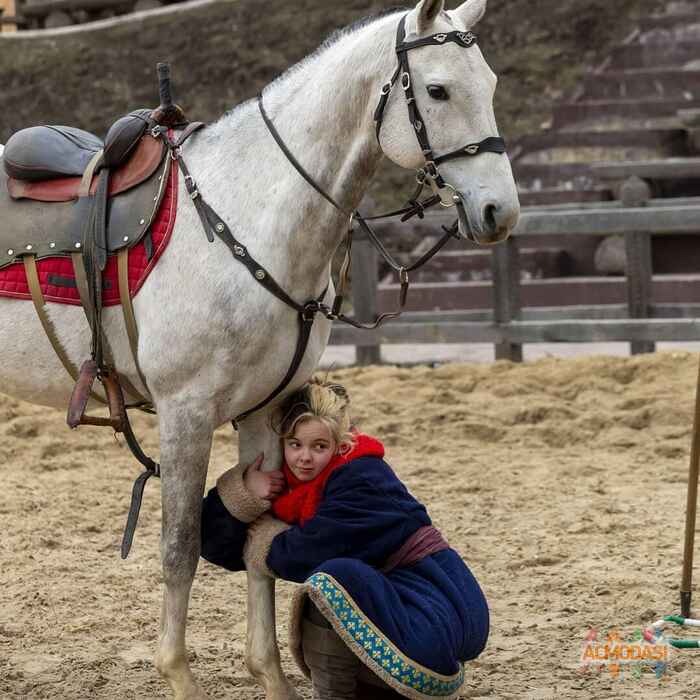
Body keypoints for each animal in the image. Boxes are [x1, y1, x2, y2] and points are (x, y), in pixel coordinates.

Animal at [1, 0, 520, 696]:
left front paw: (268, 673)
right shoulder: (186, 414)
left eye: (490, 85)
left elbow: (260, 540)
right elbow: (180, 547)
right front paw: (178, 675)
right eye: (437, 90)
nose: (499, 211)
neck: (244, 221)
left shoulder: (265, 413)